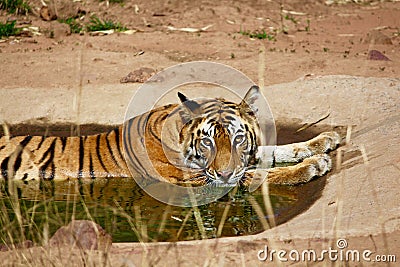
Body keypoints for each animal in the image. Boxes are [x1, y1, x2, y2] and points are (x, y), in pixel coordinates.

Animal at [0, 87, 340, 187]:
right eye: (207, 141)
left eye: (238, 139)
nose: (224, 172)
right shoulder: (198, 181)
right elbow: (259, 174)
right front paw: (314, 165)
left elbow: (276, 151)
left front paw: (323, 141)